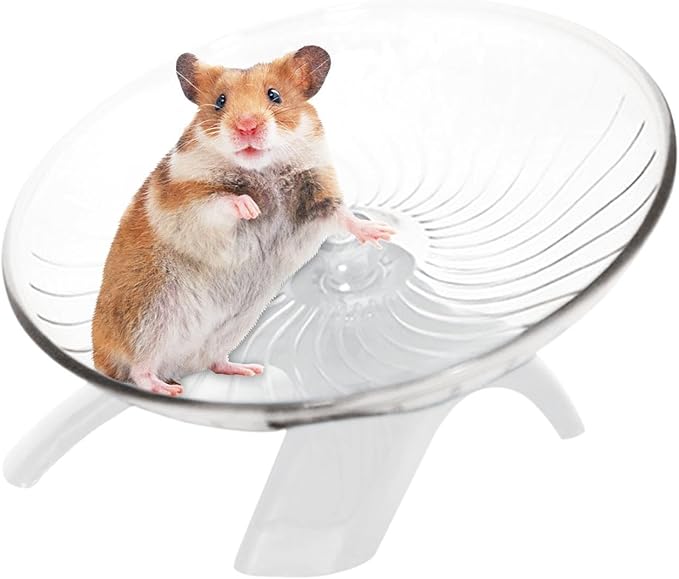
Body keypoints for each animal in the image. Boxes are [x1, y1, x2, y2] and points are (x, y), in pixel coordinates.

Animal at [92, 46, 394, 397]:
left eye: (274, 95)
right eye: (220, 101)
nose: (247, 127)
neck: (262, 169)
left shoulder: (318, 195)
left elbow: (343, 216)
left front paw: (382, 233)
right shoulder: (186, 200)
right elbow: (221, 201)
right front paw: (251, 208)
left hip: (228, 329)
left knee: (213, 362)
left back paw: (248, 369)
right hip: (148, 318)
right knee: (139, 369)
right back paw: (169, 389)